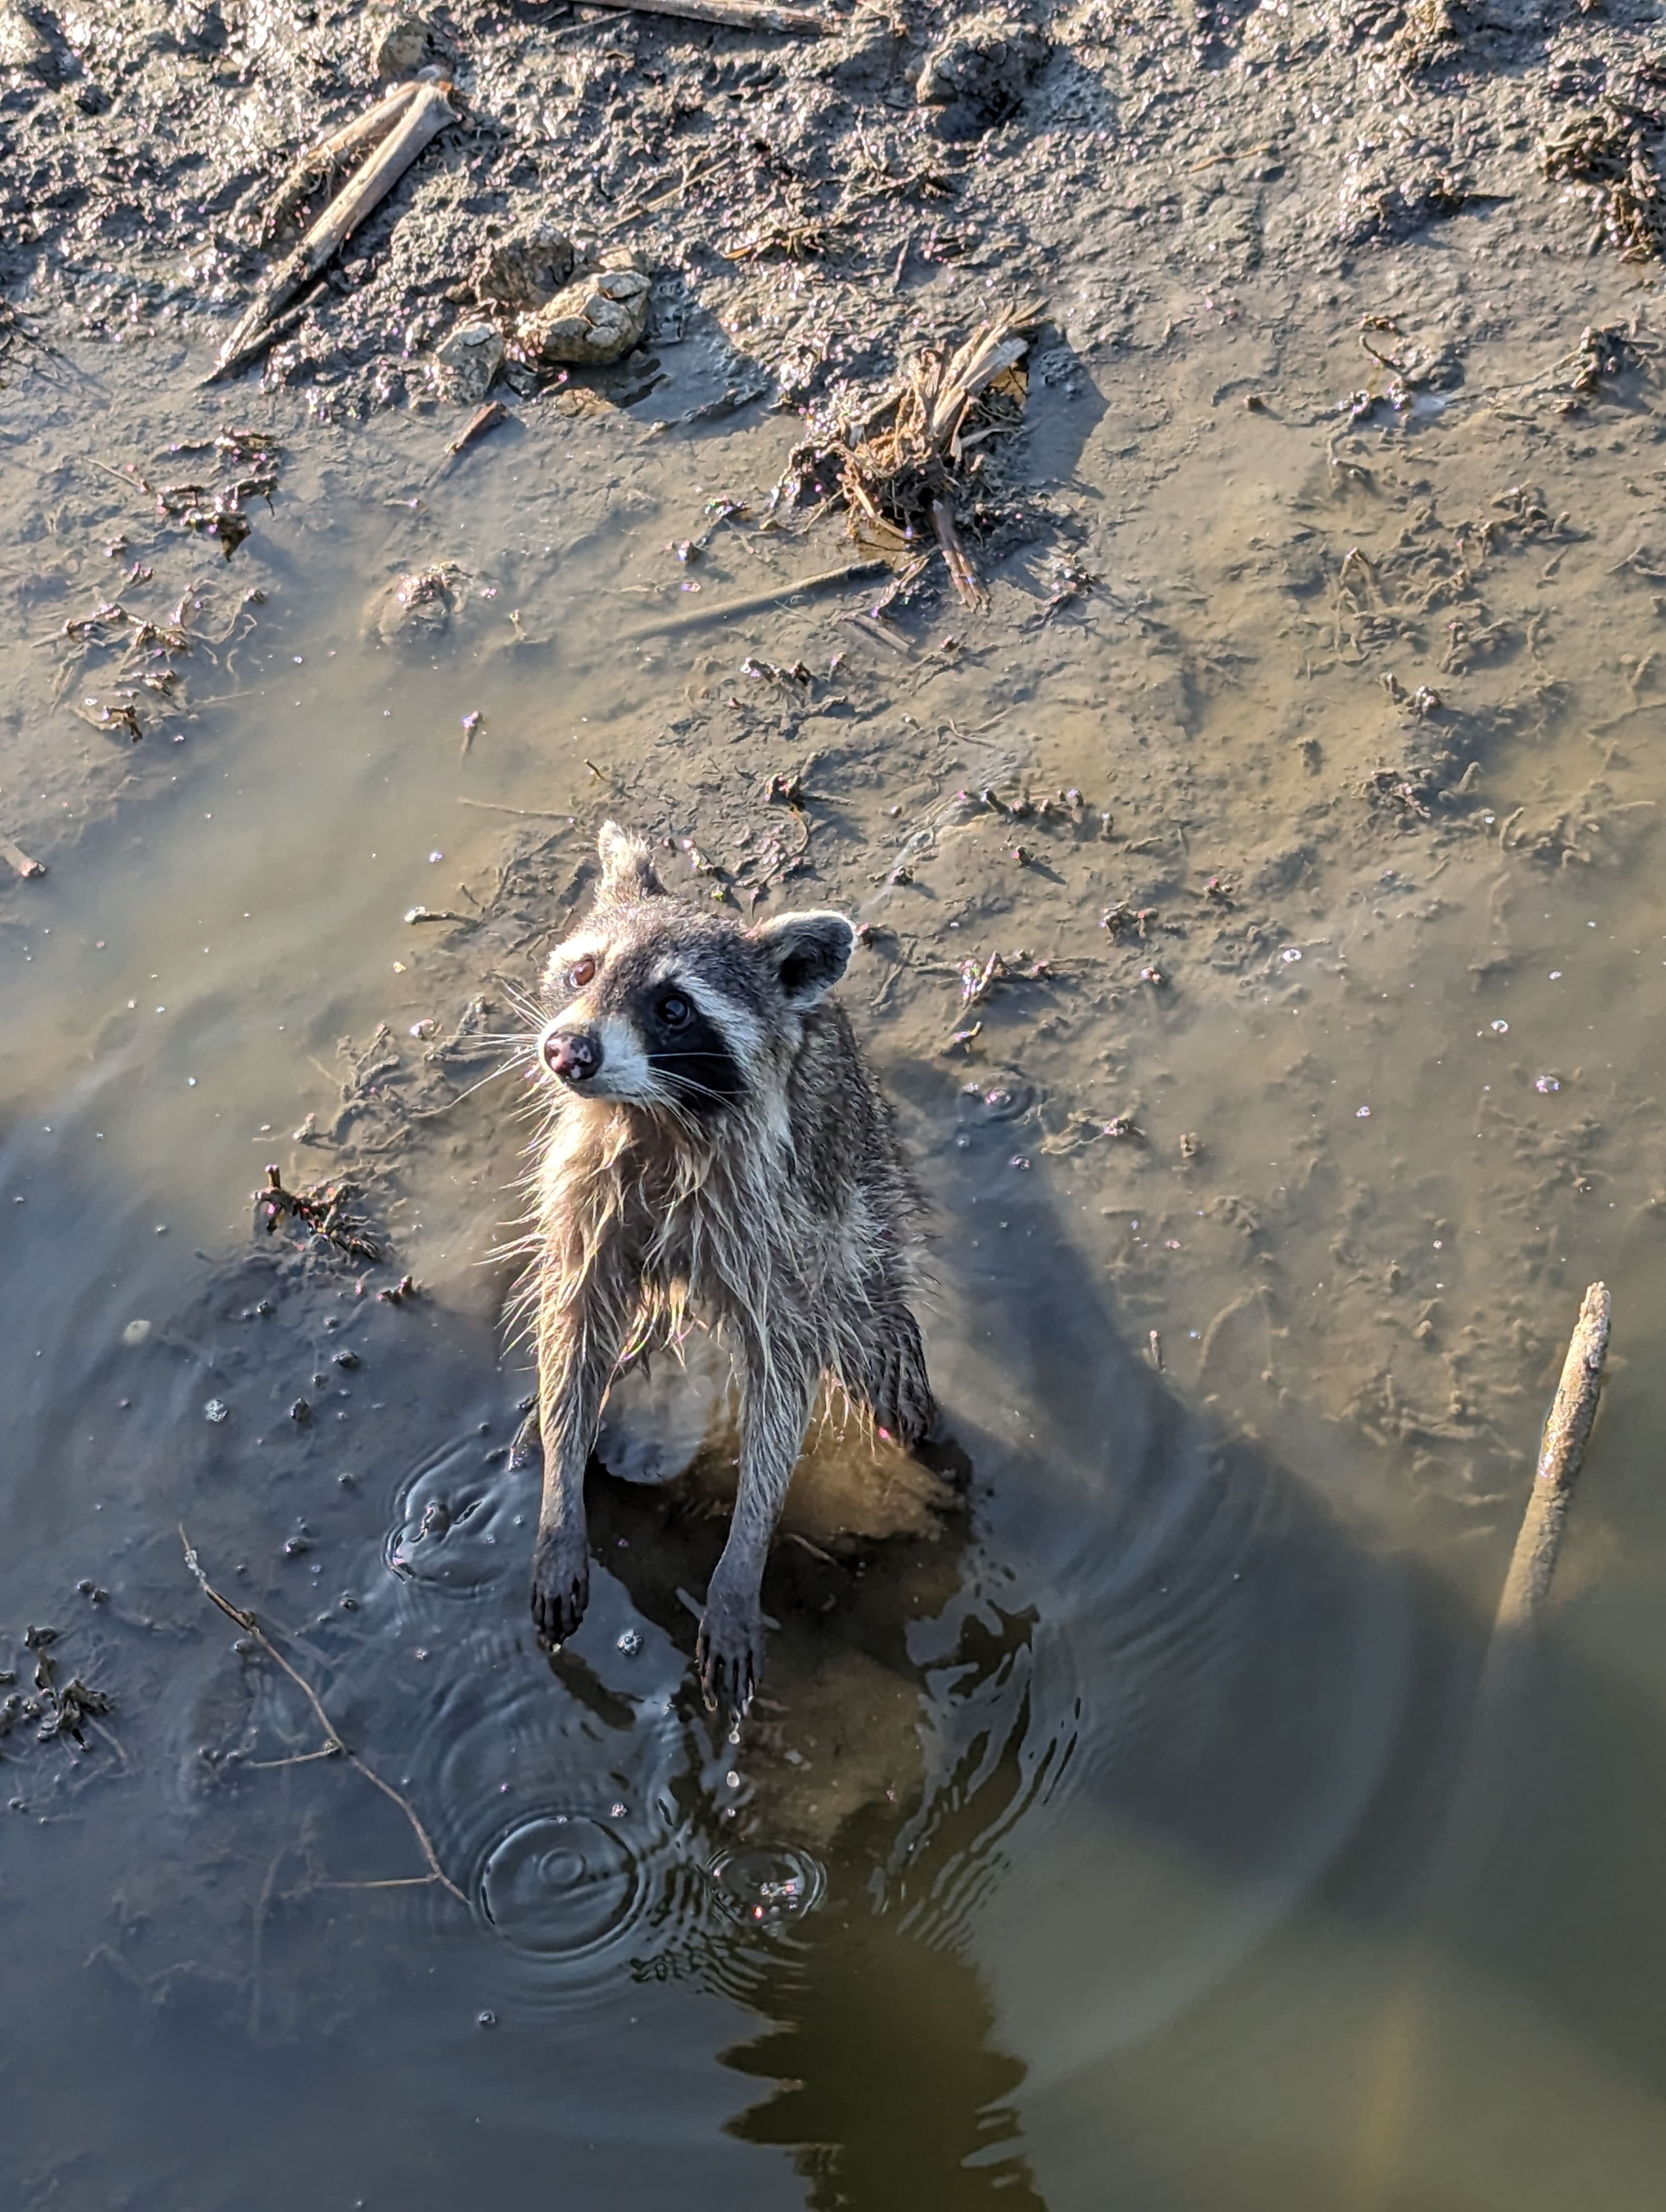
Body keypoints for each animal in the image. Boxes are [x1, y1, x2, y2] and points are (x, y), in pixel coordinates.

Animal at [517, 827, 938, 1707]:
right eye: (584, 972)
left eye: (673, 1007)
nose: (566, 1051)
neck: (655, 1114)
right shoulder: (587, 1186)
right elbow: (573, 1328)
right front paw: (557, 1507)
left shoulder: (777, 1223)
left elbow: (786, 1375)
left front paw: (743, 1559)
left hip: (858, 1193)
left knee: (875, 1337)